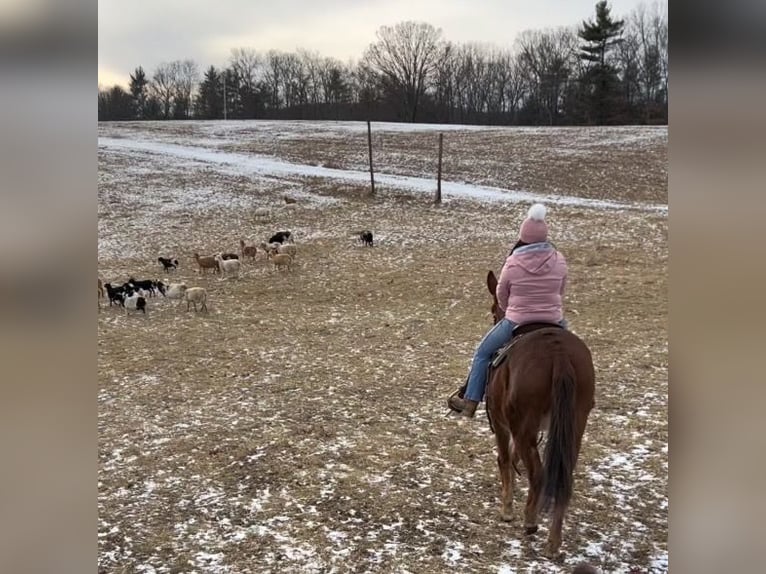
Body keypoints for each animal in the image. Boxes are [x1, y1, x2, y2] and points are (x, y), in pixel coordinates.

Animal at [486, 270, 600, 560]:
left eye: (493, 310)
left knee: (538, 473)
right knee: (562, 477)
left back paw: (530, 521)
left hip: (524, 426)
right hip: (575, 424)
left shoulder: (502, 424)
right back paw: (553, 542)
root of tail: (558, 353)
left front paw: (507, 509)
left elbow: (504, 458)